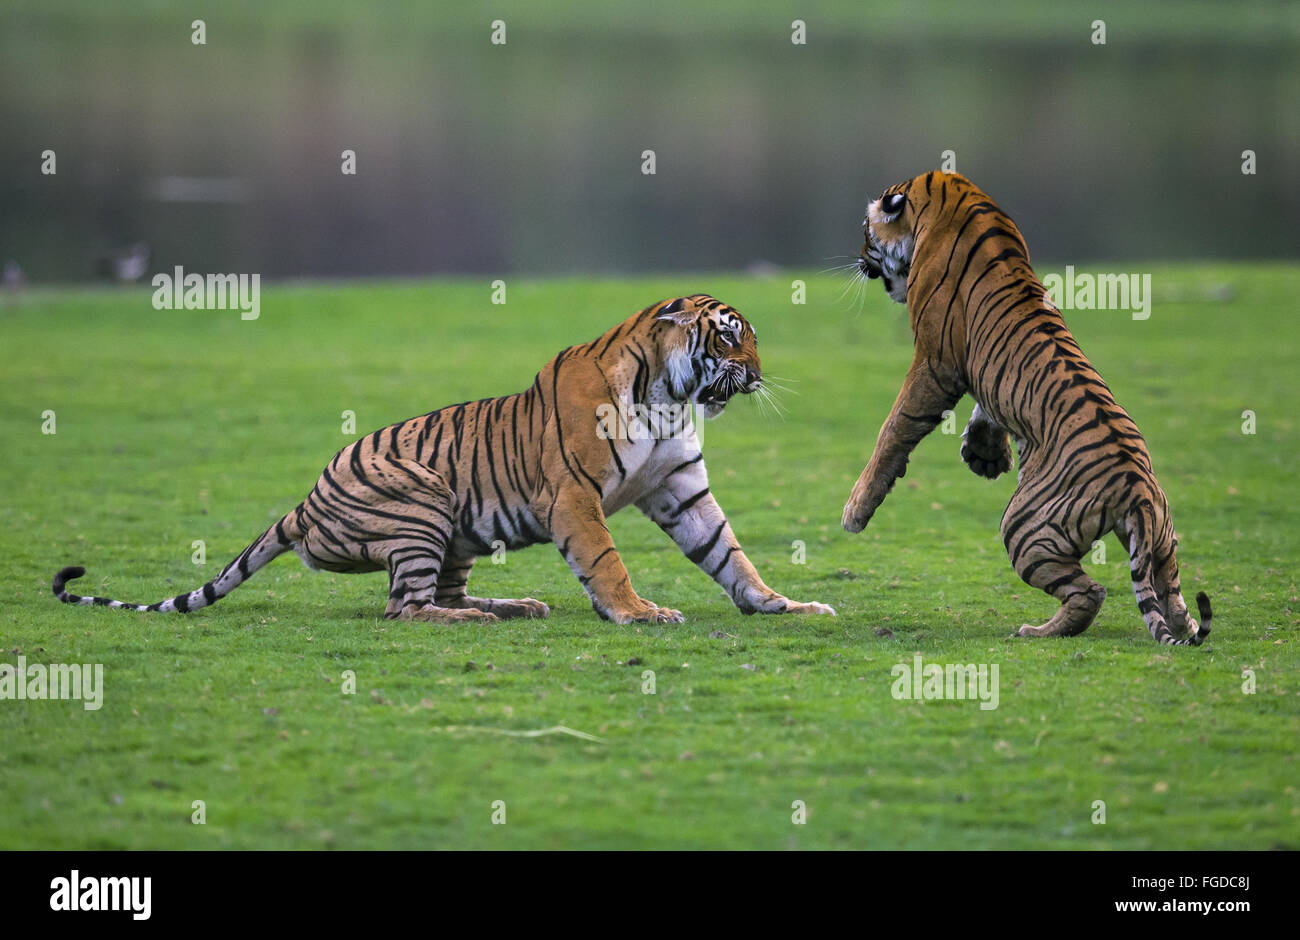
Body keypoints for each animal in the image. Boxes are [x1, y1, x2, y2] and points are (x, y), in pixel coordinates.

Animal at [53, 293, 832, 629]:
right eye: (730, 338)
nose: (758, 376)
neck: (669, 397)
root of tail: (304, 500)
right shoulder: (573, 495)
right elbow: (607, 560)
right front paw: (638, 612)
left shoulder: (679, 486)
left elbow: (729, 553)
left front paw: (782, 604)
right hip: (421, 501)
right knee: (405, 608)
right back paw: (478, 621)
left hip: (458, 528)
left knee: (441, 594)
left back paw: (514, 605)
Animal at [842, 171, 1206, 647]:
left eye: (865, 230)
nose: (858, 258)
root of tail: (1138, 491)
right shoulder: (979, 369)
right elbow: (989, 408)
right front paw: (985, 455)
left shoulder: (935, 362)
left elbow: (895, 426)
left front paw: (856, 510)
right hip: (1162, 540)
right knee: (1172, 597)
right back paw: (1187, 626)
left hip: (1024, 528)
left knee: (1091, 590)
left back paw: (1037, 631)